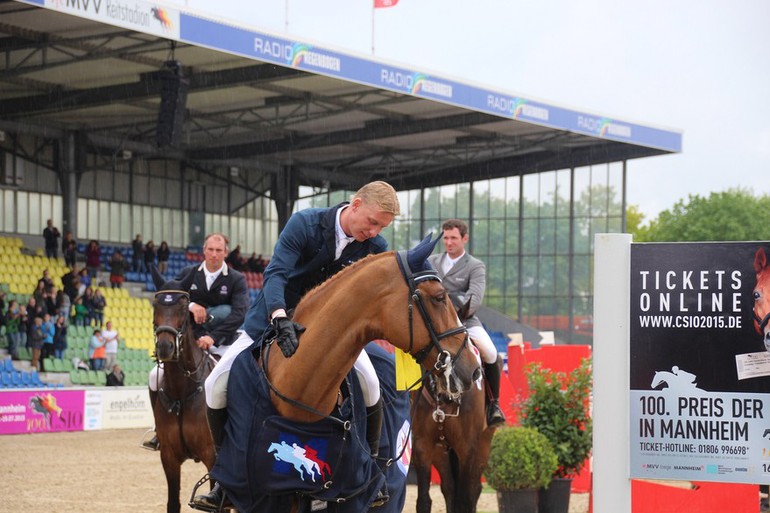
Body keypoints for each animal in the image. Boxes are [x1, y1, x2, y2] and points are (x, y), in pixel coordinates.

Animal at [151, 280, 218, 512]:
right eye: (155, 306)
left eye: (182, 307)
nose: (165, 347)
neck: (182, 392)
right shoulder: (169, 457)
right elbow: (173, 503)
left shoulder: (212, 455)